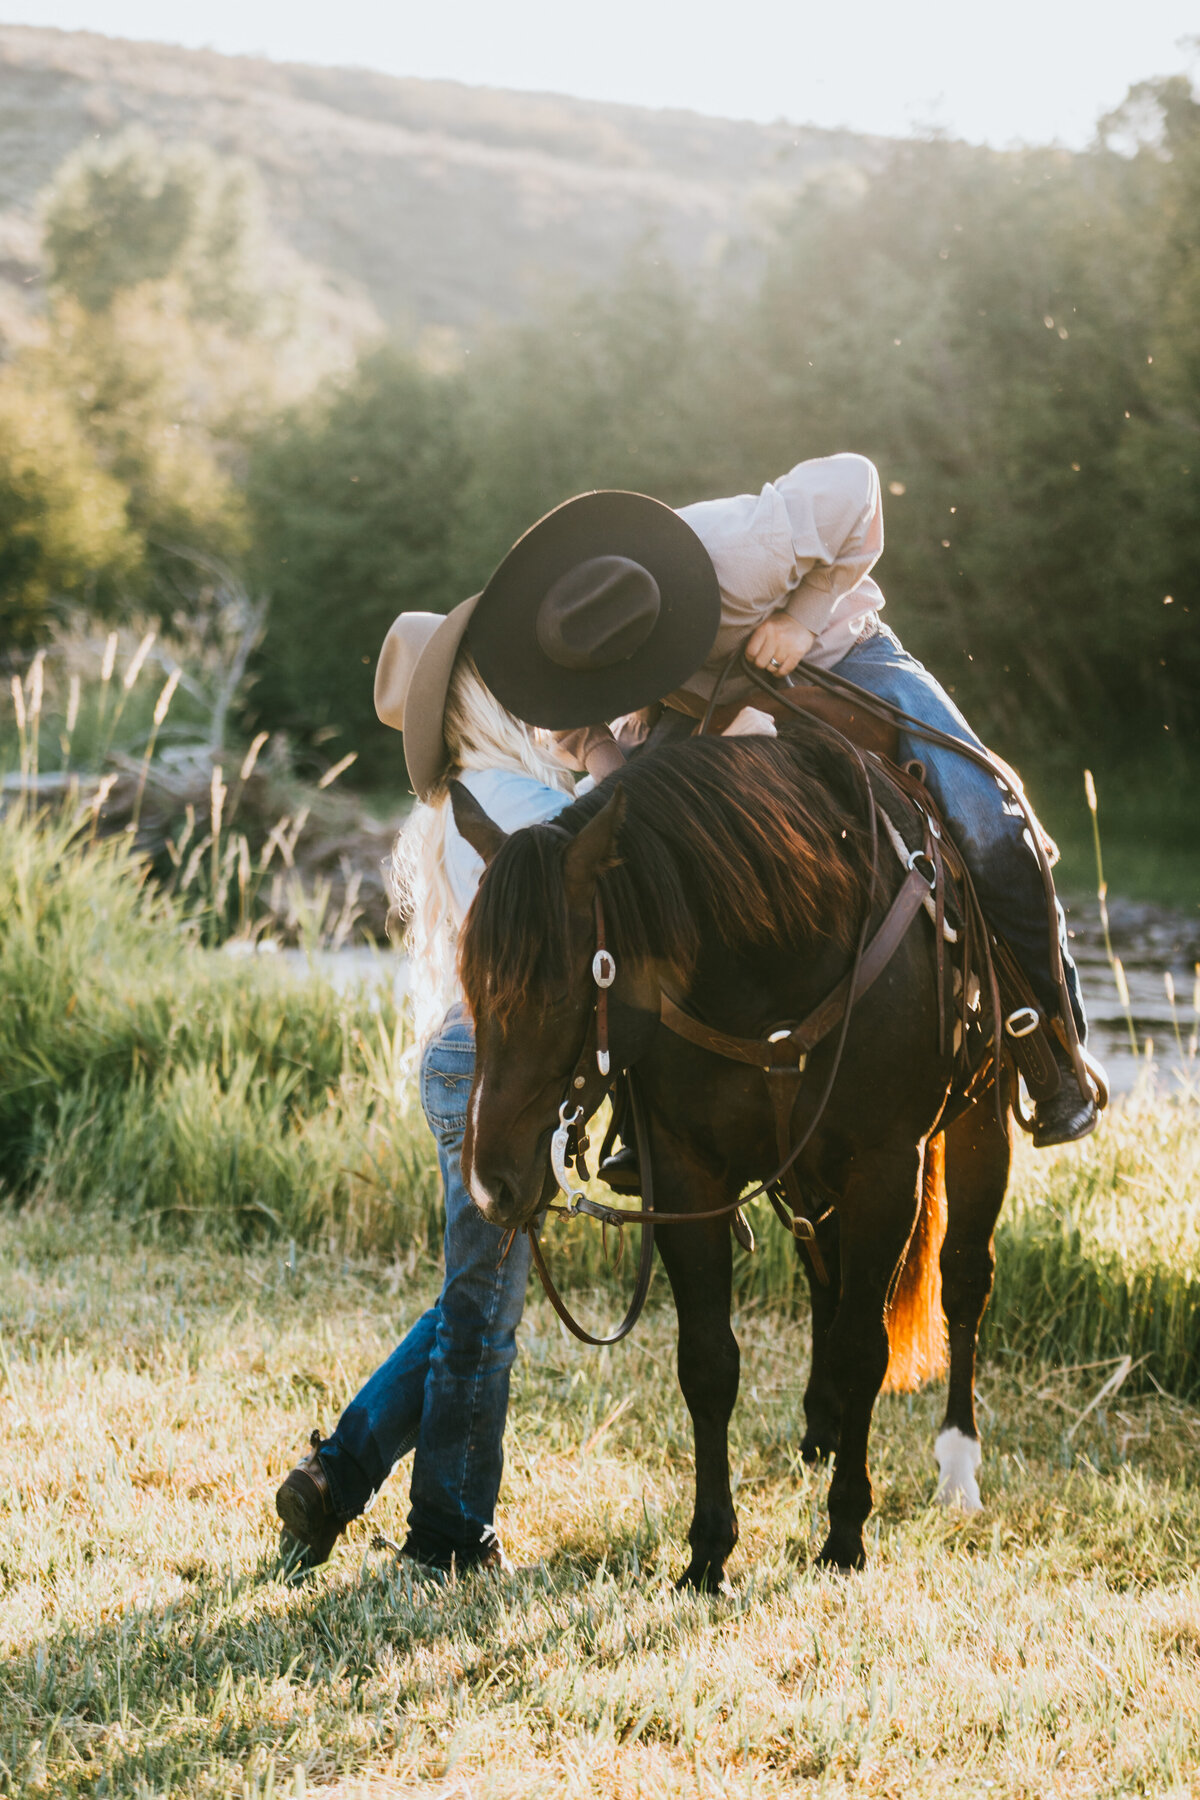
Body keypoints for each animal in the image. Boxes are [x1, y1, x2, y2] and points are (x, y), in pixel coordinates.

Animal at [455, 723, 1007, 1584]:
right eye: (473, 989)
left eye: (555, 991)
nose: (491, 1186)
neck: (778, 964)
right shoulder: (690, 1175)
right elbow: (709, 1361)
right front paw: (708, 1549)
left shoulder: (887, 1168)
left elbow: (866, 1347)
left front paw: (844, 1535)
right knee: (826, 1273)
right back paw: (821, 1428)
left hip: (981, 1123)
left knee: (963, 1281)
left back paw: (956, 1467)